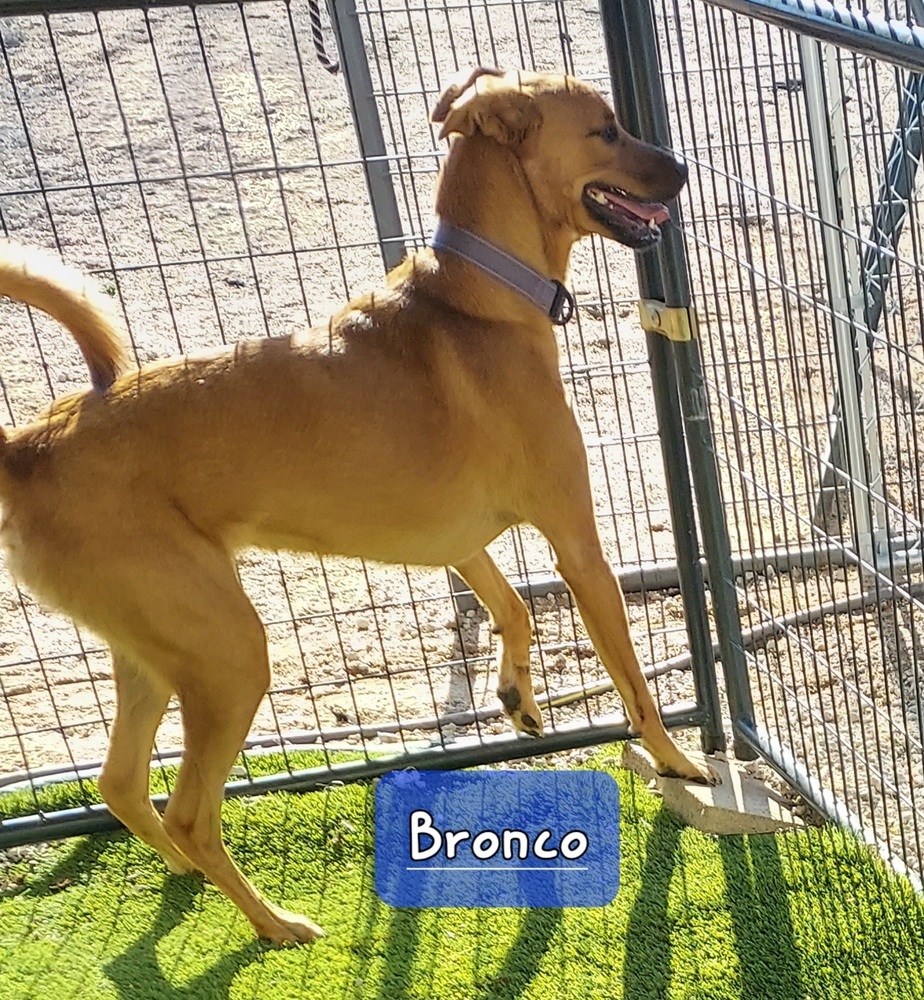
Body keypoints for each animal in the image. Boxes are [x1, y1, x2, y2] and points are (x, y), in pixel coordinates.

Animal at [0, 70, 708, 944]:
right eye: (606, 129)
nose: (684, 168)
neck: (477, 299)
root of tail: (28, 445)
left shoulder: (455, 539)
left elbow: (511, 606)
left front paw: (515, 691)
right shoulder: (576, 542)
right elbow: (634, 683)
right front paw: (679, 762)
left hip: (154, 651)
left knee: (123, 785)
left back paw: (184, 875)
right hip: (227, 655)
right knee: (190, 811)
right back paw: (273, 925)